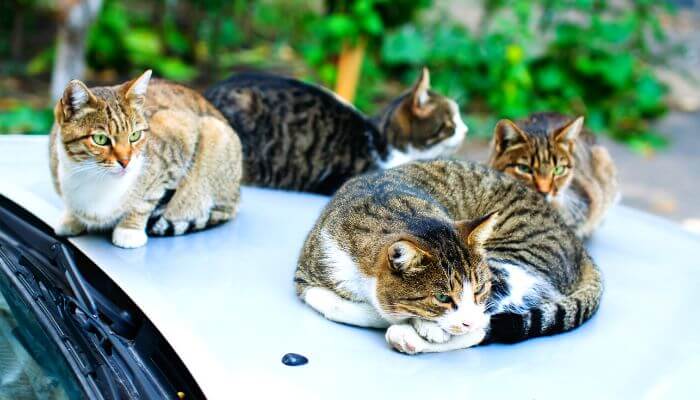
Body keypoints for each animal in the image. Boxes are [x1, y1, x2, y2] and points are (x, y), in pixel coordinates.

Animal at [47, 70, 242, 248]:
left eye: (135, 136)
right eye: (100, 139)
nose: (126, 162)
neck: (93, 177)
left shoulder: (178, 141)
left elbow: (146, 200)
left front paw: (129, 229)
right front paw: (72, 218)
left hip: (217, 133)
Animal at [294, 159, 600, 354]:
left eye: (479, 289)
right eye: (442, 297)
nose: (466, 320)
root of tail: (580, 246)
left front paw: (416, 325)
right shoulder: (306, 274)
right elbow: (332, 303)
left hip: (513, 261)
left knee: (486, 327)